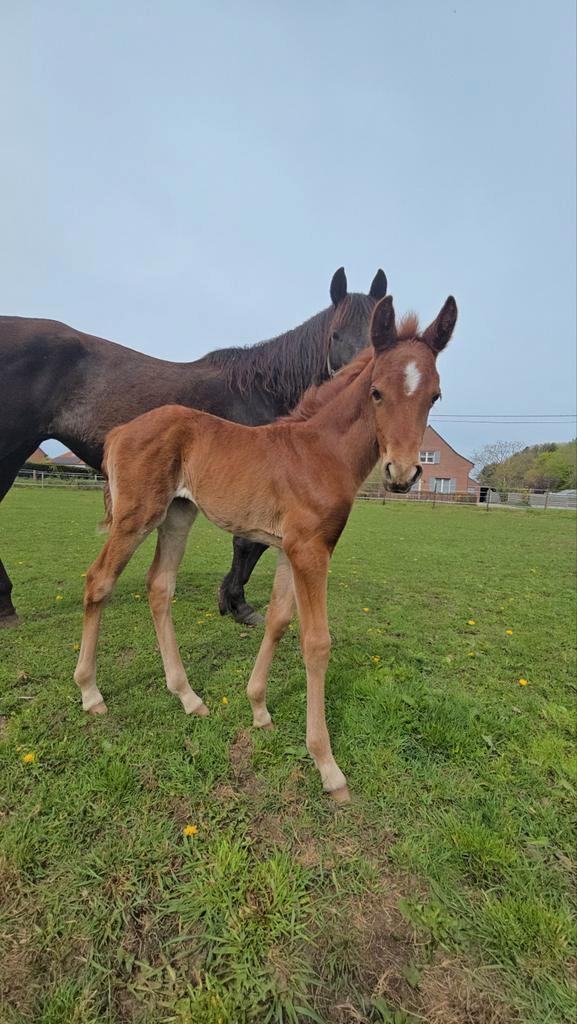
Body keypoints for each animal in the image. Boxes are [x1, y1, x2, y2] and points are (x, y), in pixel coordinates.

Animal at [74, 293, 458, 801]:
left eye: (434, 395)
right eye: (376, 392)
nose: (402, 473)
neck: (320, 452)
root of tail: (119, 432)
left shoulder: (288, 549)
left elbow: (276, 621)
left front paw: (258, 709)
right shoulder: (311, 552)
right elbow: (316, 643)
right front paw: (327, 766)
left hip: (178, 514)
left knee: (160, 587)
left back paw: (188, 696)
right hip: (136, 517)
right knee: (99, 581)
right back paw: (90, 692)